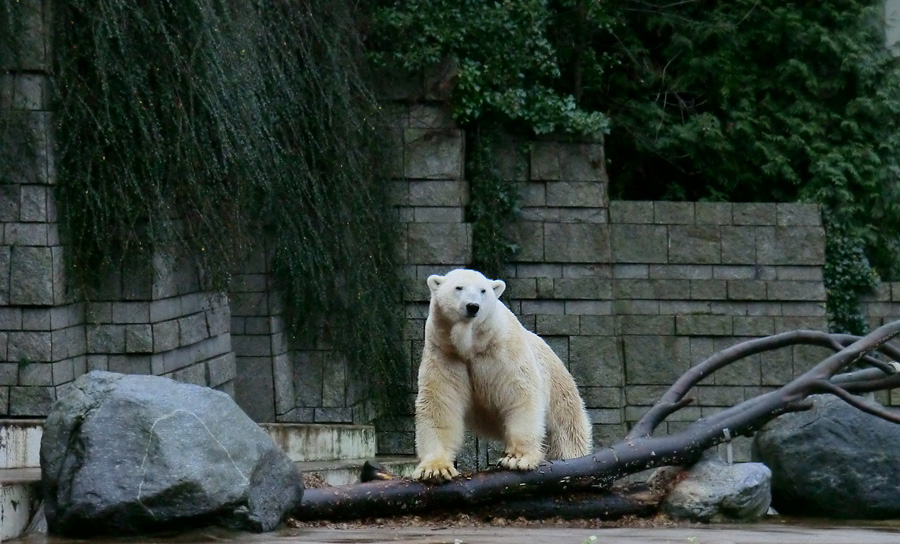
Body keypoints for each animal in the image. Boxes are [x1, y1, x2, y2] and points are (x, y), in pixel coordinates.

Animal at [412, 268, 596, 480]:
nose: (472, 307)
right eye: (458, 287)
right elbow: (439, 404)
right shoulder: (445, 354)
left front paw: (516, 458)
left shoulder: (503, 351)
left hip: (560, 391)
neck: (471, 345)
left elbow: (519, 395)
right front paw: (435, 469)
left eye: (483, 290)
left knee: (566, 434)